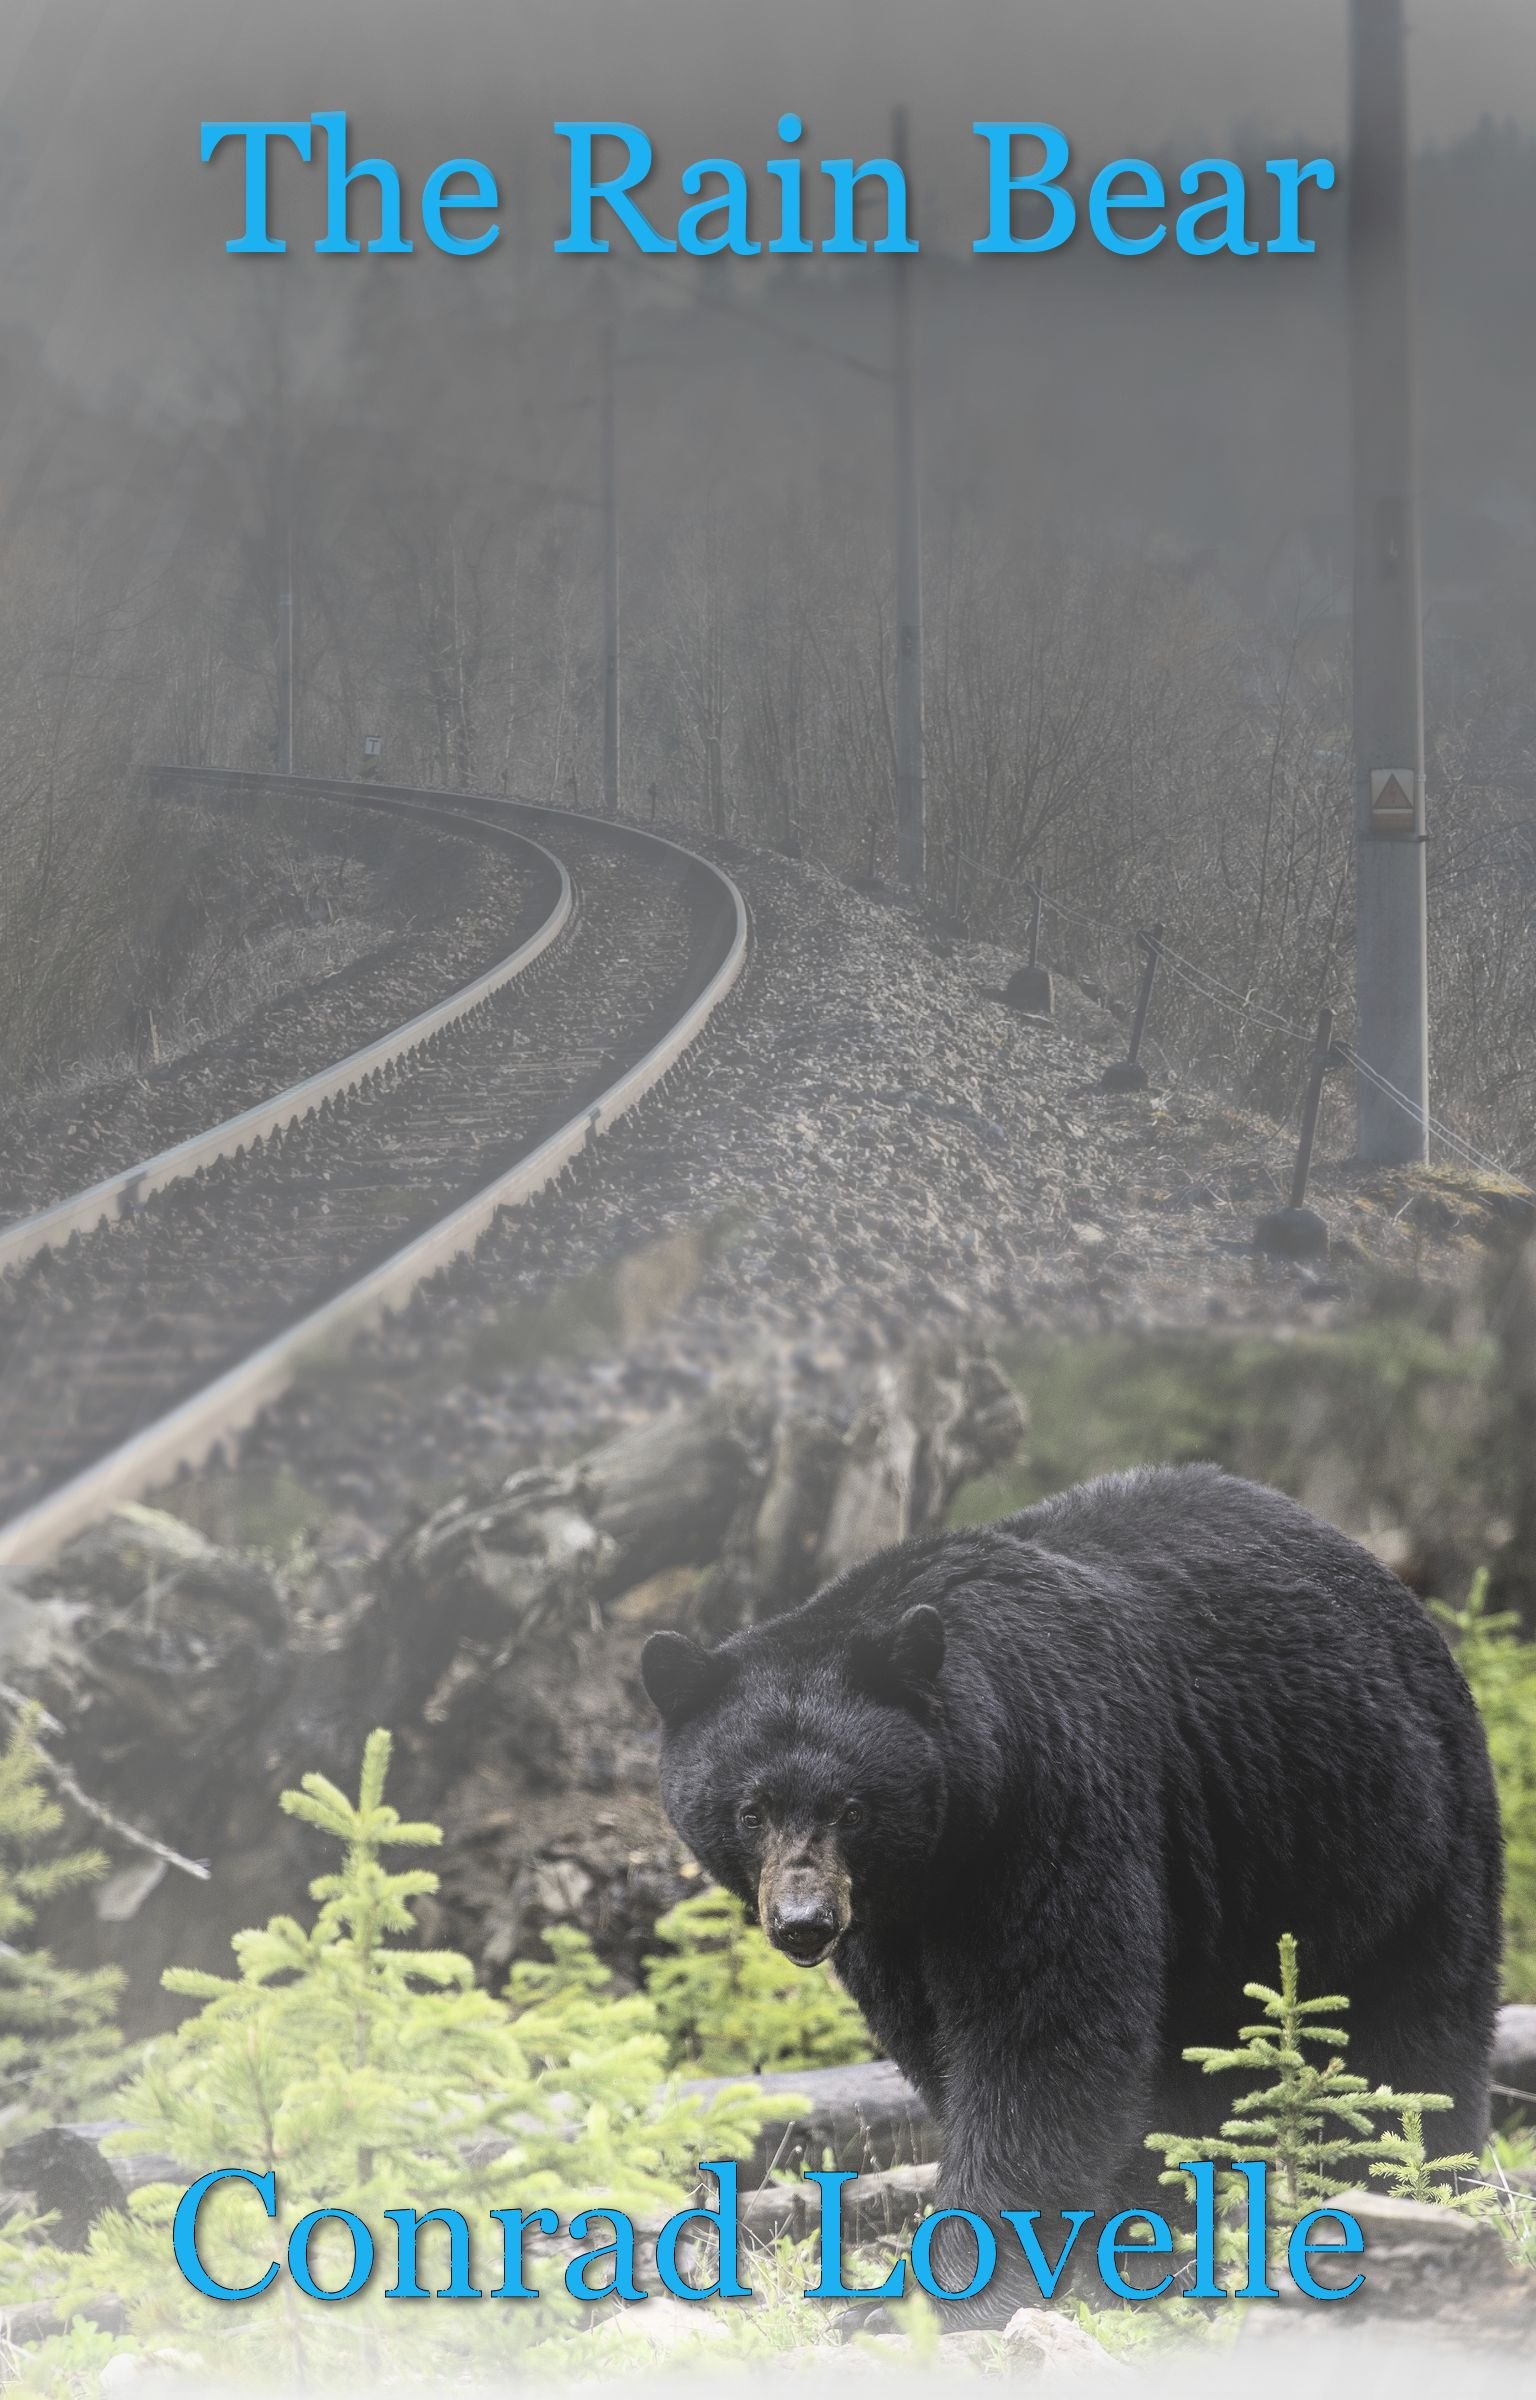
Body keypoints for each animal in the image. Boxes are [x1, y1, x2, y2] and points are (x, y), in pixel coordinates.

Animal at [641, 1464, 1503, 2317]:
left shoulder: (1056, 1799)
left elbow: (1043, 2035)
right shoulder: (893, 1920)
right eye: (750, 1811)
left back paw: (1412, 2189)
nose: (804, 1923)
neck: (955, 1839)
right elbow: (940, 2041)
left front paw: (949, 2290)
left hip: (1391, 1833)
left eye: (852, 1809)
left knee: (1414, 2033)